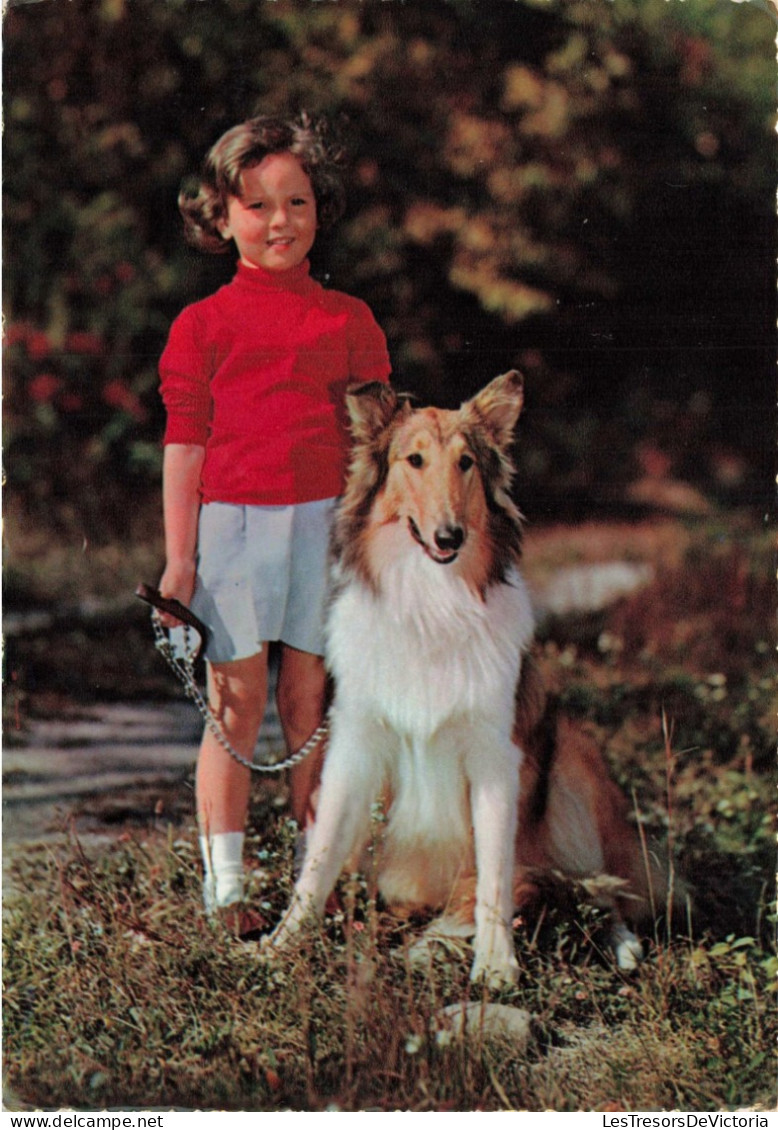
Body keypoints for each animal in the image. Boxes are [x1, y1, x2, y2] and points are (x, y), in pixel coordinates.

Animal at [265, 372, 655, 989]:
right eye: (414, 460)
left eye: (466, 463)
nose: (449, 537)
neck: (434, 602)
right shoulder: (354, 749)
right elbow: (320, 858)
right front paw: (278, 947)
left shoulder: (496, 758)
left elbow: (495, 870)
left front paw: (496, 964)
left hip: (571, 765)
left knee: (604, 893)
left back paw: (622, 950)